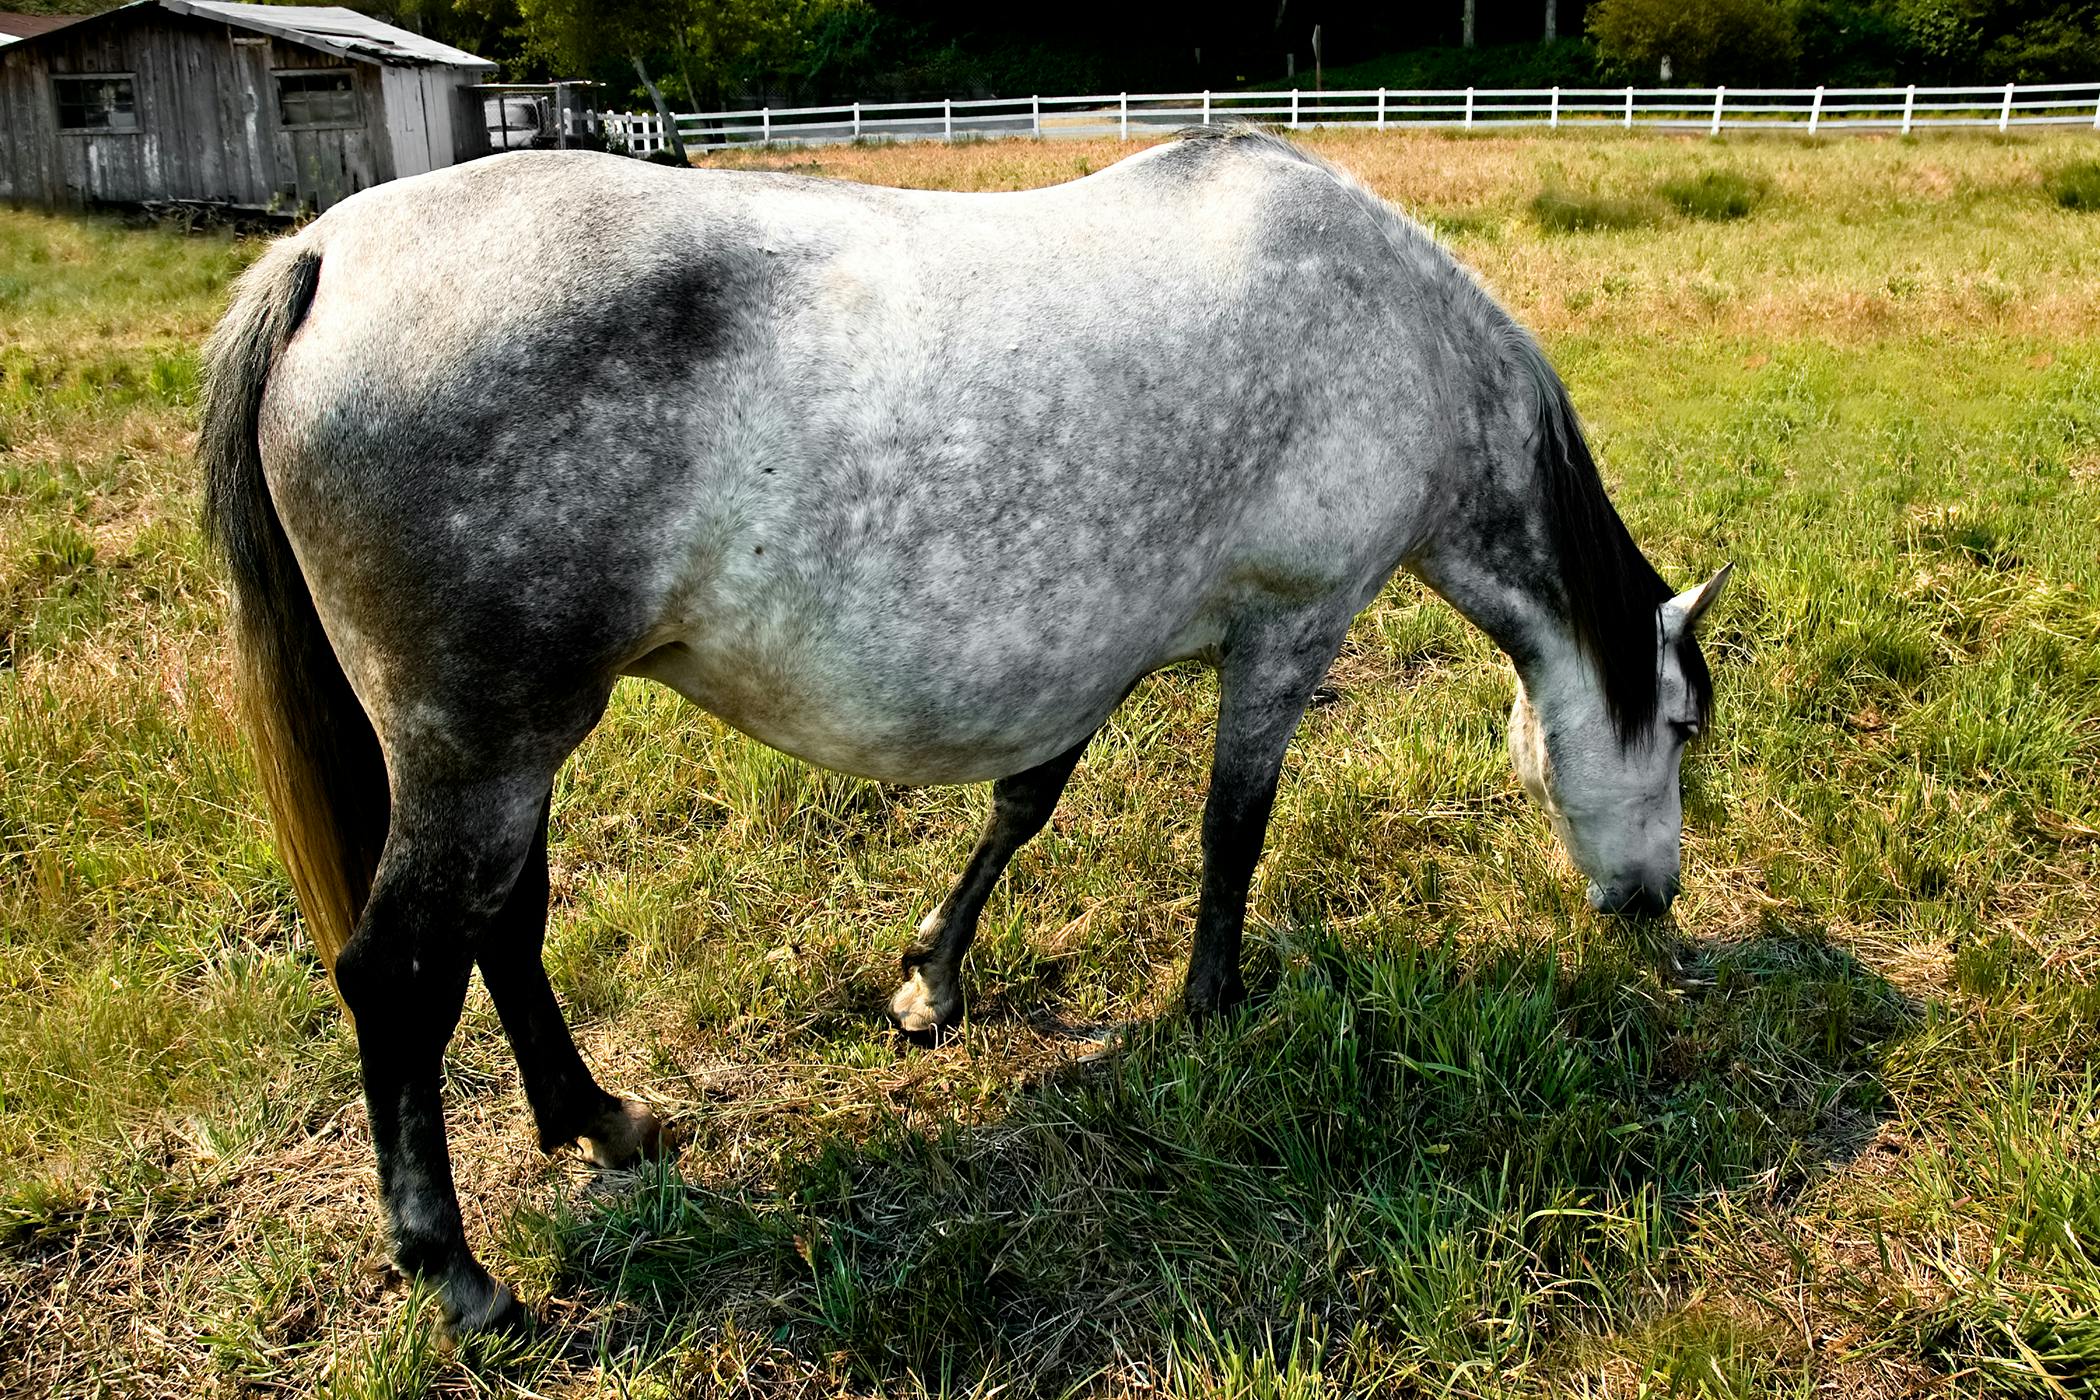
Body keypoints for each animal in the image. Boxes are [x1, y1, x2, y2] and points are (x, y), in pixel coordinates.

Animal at [200, 128, 1729, 1334]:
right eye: (1681, 725)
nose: (1655, 901)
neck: (1389, 332)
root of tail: (328, 252)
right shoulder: (1289, 631)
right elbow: (1232, 829)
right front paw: (1212, 1010)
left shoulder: (1091, 655)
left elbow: (1023, 806)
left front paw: (931, 981)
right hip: (484, 745)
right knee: (402, 968)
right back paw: (456, 1274)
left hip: (506, 750)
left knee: (502, 929)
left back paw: (599, 1121)